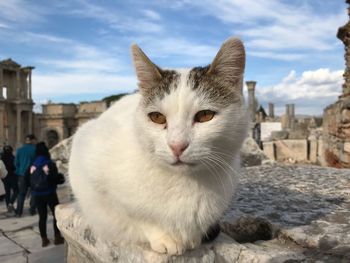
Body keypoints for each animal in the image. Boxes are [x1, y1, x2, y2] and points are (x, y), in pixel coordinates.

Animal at [69, 37, 249, 256]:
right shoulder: (87, 155)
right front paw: (164, 237)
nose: (177, 145)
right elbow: (136, 216)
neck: (183, 182)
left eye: (205, 115)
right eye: (156, 117)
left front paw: (193, 238)